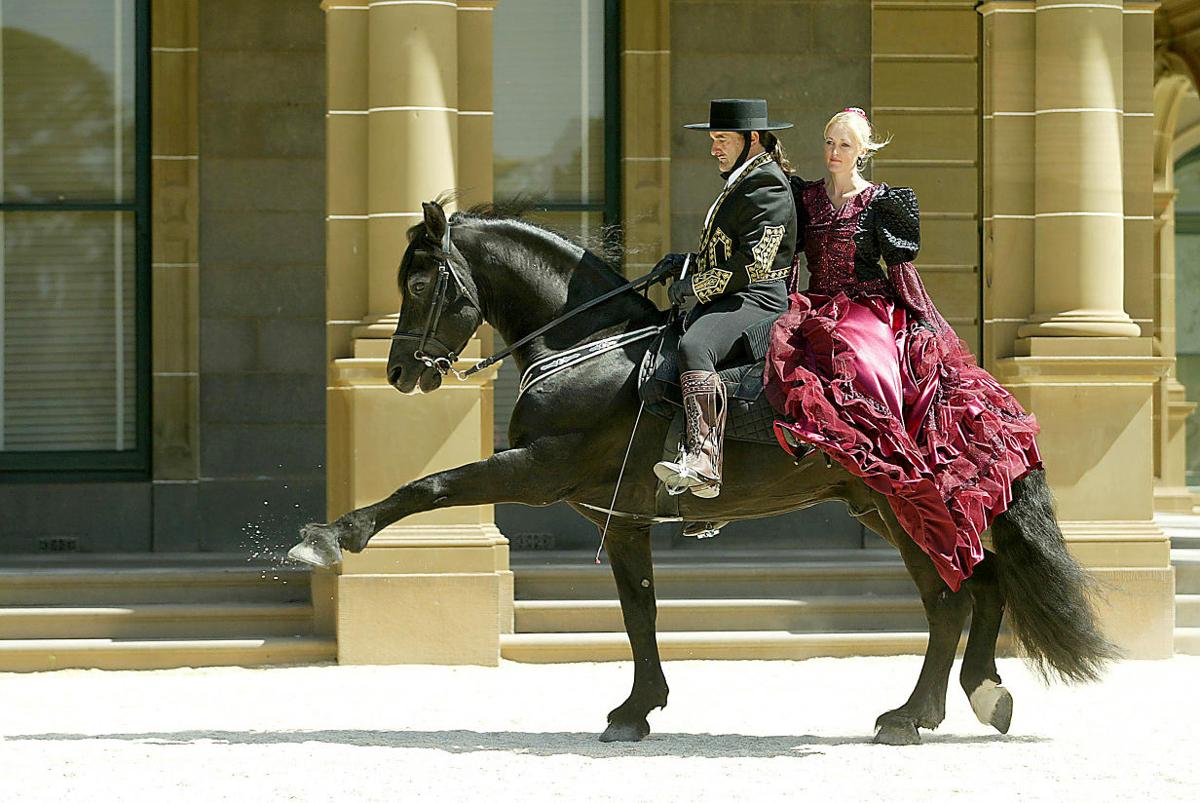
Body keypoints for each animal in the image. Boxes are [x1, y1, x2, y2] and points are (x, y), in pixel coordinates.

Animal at [289, 199, 1117, 745]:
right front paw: (636, 708)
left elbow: (429, 486)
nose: (400, 372)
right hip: (886, 510)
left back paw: (915, 715)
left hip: (904, 508)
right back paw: (974, 696)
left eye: (418, 283)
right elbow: (640, 611)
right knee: (975, 589)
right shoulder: (618, 513)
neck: (593, 349)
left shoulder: (538, 469)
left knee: (956, 598)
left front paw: (330, 537)